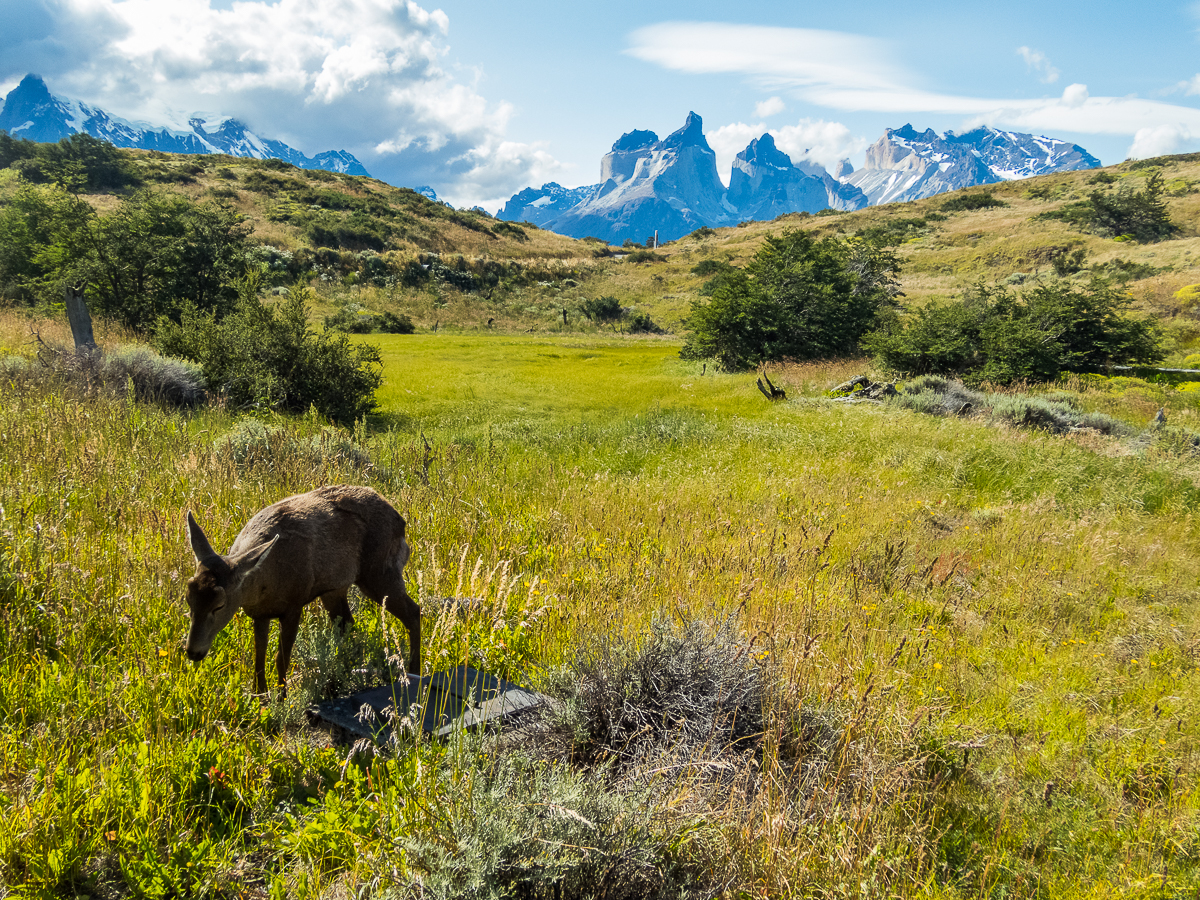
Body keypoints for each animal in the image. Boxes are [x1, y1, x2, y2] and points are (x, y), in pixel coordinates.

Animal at [180, 487, 420, 696]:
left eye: (219, 605)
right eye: (188, 599)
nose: (193, 652)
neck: (264, 583)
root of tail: (401, 522)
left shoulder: (294, 605)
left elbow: (281, 658)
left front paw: (282, 698)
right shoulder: (259, 613)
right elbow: (259, 656)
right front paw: (260, 696)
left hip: (379, 572)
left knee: (414, 612)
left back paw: (413, 673)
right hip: (335, 588)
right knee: (346, 623)